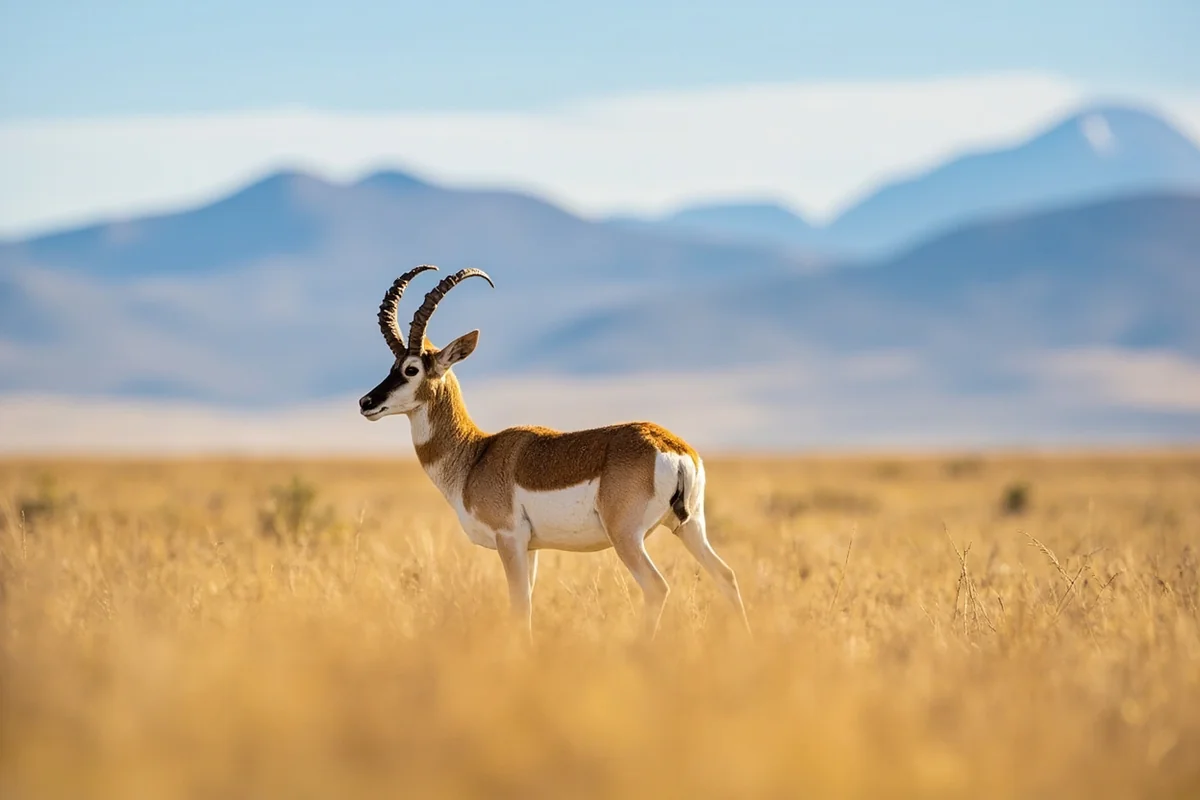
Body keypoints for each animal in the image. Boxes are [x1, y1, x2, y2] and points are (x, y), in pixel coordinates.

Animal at [358, 265, 749, 637]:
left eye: (411, 369)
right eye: (392, 367)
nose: (366, 402)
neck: (475, 456)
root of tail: (671, 446)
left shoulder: (509, 539)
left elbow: (520, 608)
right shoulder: (530, 548)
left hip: (627, 538)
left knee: (658, 587)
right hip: (690, 527)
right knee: (727, 576)